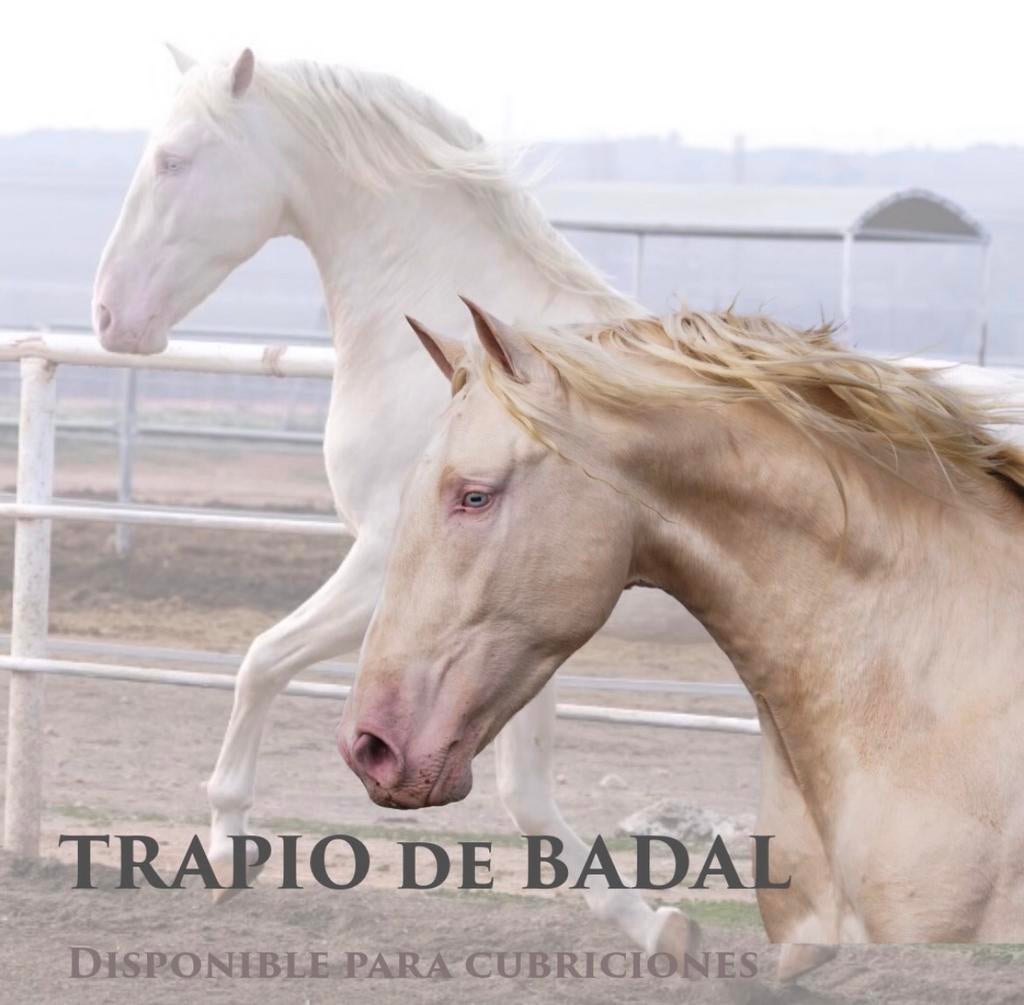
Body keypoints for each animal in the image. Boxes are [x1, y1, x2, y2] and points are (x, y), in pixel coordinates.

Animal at [91, 47, 705, 957]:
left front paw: (229, 849)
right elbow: (526, 793)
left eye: (174, 160)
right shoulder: (512, 619)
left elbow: (261, 659)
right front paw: (656, 926)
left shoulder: (390, 563)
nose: (109, 317)